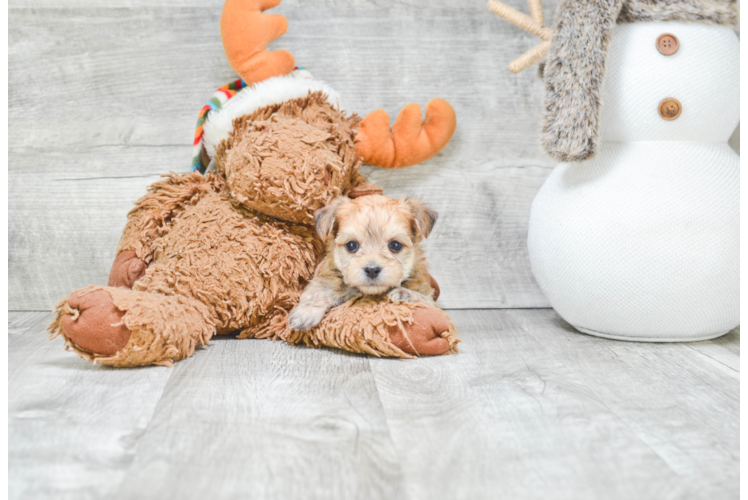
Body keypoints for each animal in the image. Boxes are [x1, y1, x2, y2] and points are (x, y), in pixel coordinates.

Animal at [286, 195, 438, 332]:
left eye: (395, 245)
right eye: (351, 245)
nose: (372, 269)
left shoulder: (430, 300)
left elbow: (424, 300)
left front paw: (405, 295)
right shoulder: (327, 279)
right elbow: (318, 291)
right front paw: (305, 312)